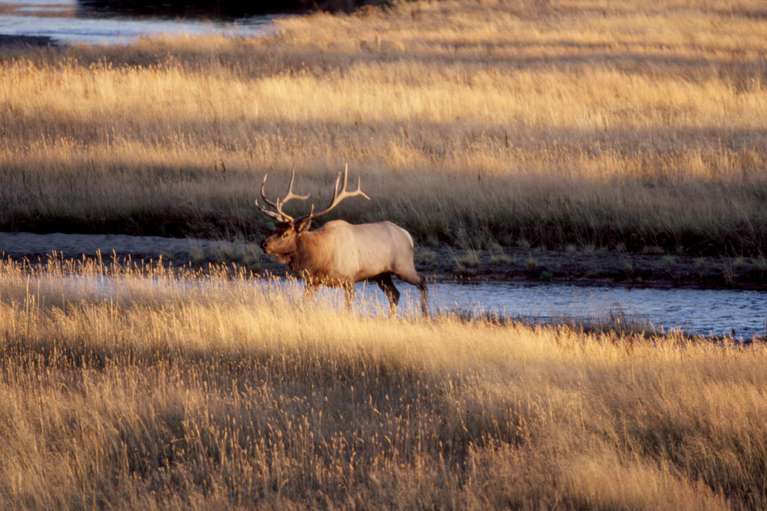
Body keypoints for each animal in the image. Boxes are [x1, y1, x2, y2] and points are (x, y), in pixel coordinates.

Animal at [256, 165, 428, 316]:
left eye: (285, 234)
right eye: (275, 228)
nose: (263, 243)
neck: (318, 257)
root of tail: (408, 236)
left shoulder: (349, 279)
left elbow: (348, 308)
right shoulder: (313, 281)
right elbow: (304, 303)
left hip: (403, 266)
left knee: (422, 280)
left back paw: (425, 314)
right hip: (381, 274)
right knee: (394, 294)